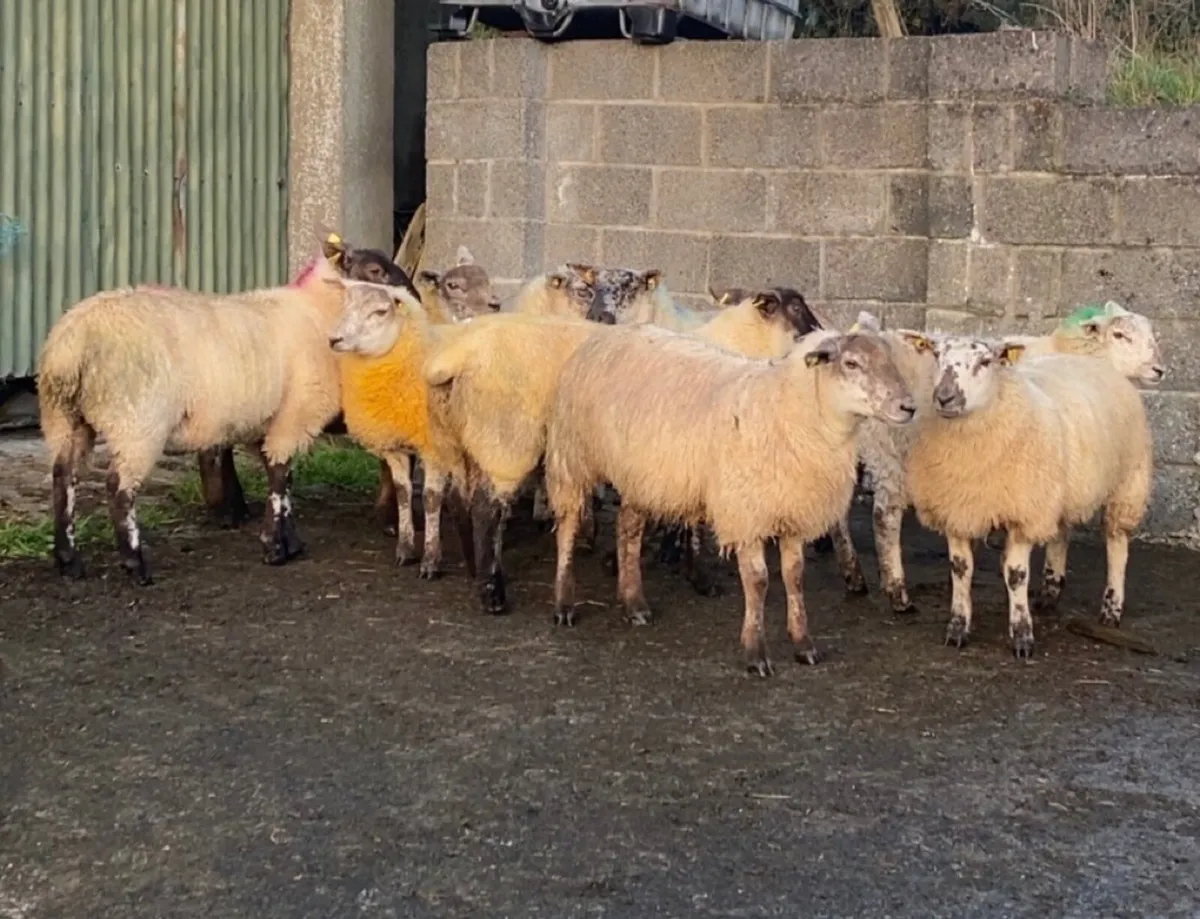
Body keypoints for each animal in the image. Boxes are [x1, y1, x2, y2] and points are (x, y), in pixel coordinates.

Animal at [38, 239, 352, 584]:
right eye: (374, 269)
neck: (313, 308)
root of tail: (71, 346)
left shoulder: (269, 422)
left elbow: (281, 477)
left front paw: (288, 541)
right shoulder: (294, 415)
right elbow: (281, 479)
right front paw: (274, 548)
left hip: (65, 419)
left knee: (63, 476)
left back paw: (68, 560)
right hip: (136, 421)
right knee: (118, 487)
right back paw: (135, 563)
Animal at [543, 324, 917, 676]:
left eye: (891, 361)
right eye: (851, 363)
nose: (909, 407)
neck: (788, 410)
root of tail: (607, 334)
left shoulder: (793, 510)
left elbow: (795, 576)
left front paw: (803, 645)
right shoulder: (745, 512)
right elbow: (758, 580)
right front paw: (756, 654)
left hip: (641, 474)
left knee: (629, 528)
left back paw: (634, 603)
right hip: (573, 455)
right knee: (568, 525)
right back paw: (564, 604)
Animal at [836, 304, 1163, 618]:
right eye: (1120, 335)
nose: (1159, 370)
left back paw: (854, 576)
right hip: (890, 455)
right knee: (885, 519)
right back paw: (898, 594)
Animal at [903, 336, 1155, 659]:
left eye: (985, 361)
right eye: (936, 355)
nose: (945, 397)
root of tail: (1099, 362)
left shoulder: (1023, 513)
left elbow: (1016, 574)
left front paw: (1022, 635)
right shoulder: (957, 510)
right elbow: (960, 570)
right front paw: (957, 628)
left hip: (1128, 482)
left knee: (1117, 546)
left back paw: (1111, 609)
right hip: (1058, 490)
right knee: (1061, 534)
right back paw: (1050, 592)